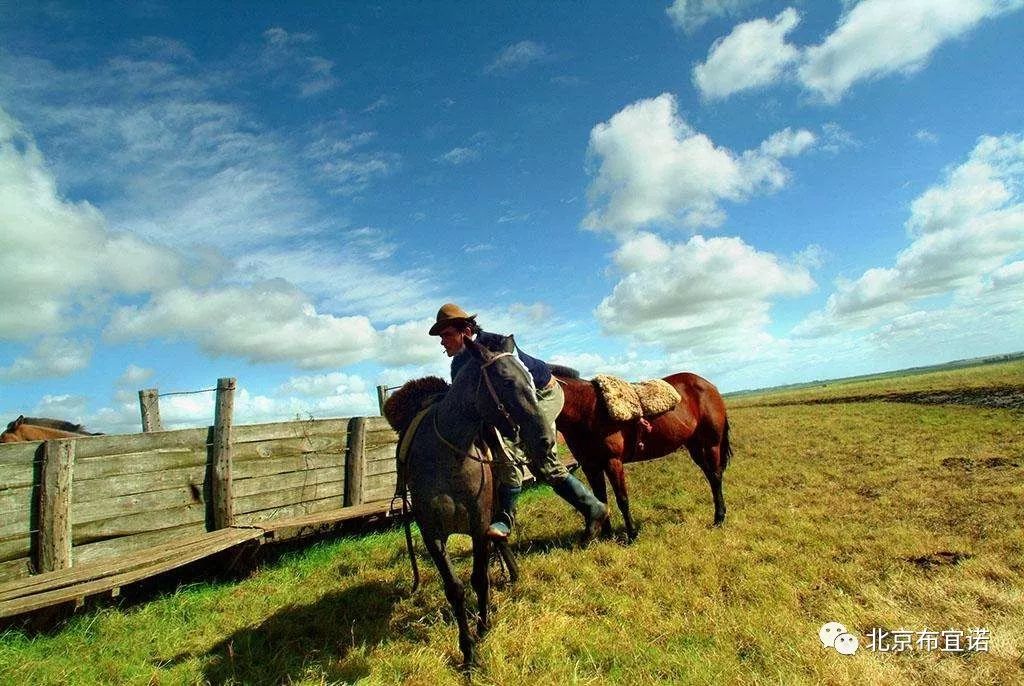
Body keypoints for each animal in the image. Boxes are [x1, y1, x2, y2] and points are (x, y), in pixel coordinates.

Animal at [401, 335, 561, 667]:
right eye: (505, 380)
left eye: (530, 379)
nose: (545, 440)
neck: (450, 456)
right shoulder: (432, 534)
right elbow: (455, 588)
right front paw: (468, 650)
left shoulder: (478, 525)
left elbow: (480, 578)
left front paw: (484, 626)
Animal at [548, 368, 733, 540]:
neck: (586, 409)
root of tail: (710, 386)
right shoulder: (591, 466)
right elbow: (601, 499)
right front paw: (607, 536)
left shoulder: (613, 462)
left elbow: (622, 499)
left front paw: (632, 535)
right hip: (695, 446)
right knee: (711, 476)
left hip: (711, 445)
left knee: (716, 477)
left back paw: (719, 519)